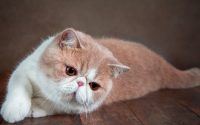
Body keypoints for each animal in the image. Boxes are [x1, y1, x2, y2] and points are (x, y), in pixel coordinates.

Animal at [0, 27, 200, 122]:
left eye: (93, 86)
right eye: (70, 71)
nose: (80, 83)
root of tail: (162, 61)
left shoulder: (82, 106)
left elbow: (55, 105)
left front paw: (35, 107)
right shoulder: (24, 69)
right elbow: (19, 86)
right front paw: (15, 108)